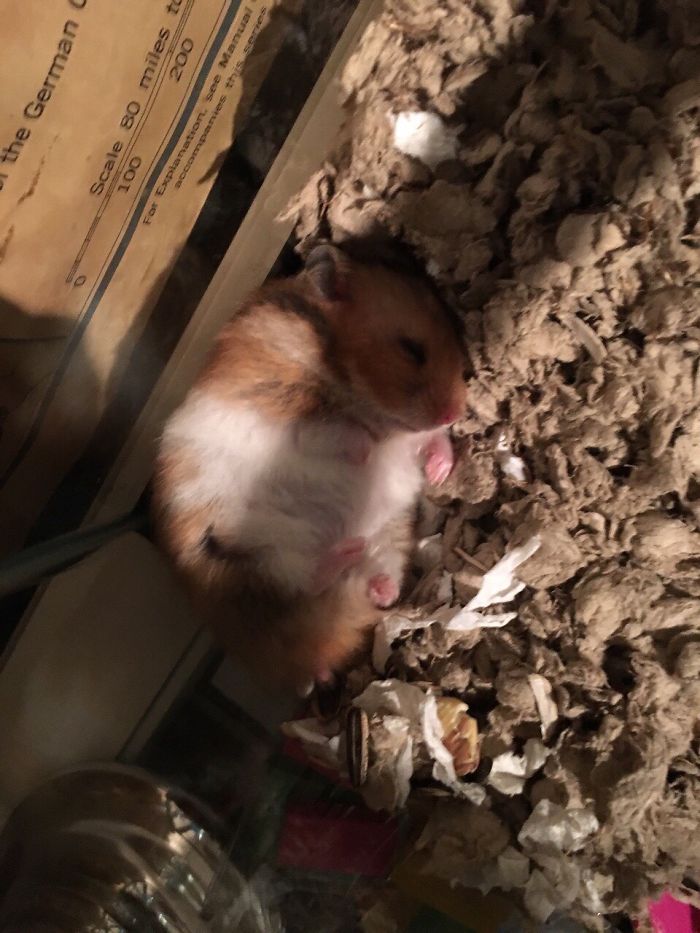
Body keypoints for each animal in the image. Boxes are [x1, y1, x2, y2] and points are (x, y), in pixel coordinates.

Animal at [153, 243, 467, 692]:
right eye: (411, 349)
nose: (455, 412)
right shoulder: (284, 406)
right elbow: (332, 432)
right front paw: (367, 452)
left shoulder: (410, 438)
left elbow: (429, 441)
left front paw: (440, 469)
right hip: (259, 557)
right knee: (308, 576)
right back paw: (346, 551)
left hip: (386, 542)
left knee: (364, 583)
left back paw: (378, 582)